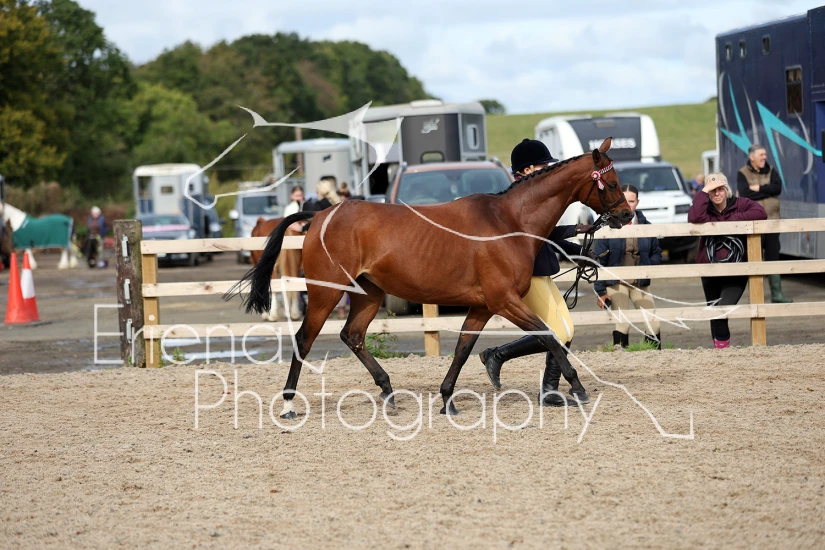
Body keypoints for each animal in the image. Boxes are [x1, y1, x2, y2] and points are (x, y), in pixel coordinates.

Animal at [224, 138, 633, 419]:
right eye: (612, 182)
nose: (627, 215)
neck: (509, 222)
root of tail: (321, 215)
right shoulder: (504, 301)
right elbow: (548, 335)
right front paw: (578, 387)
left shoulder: (483, 306)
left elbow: (464, 350)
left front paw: (448, 398)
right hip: (326, 293)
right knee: (303, 340)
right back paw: (289, 404)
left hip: (368, 294)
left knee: (352, 335)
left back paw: (388, 392)